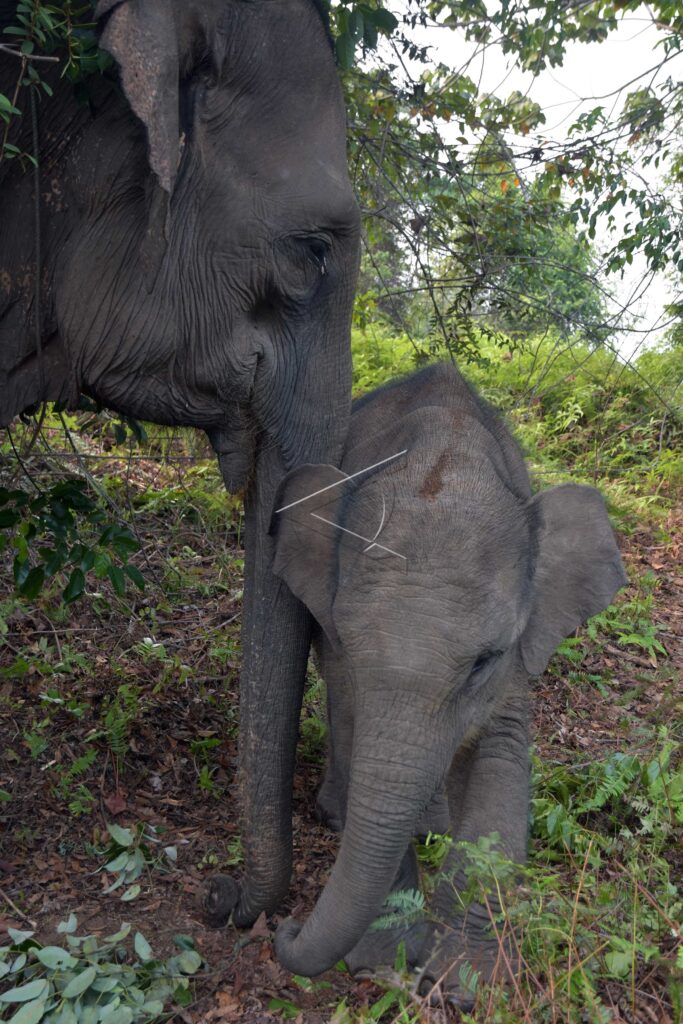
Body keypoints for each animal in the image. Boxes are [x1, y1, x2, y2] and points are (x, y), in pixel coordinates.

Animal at [269, 362, 626, 1004]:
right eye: (350, 641)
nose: (283, 927)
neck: (445, 457)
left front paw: (465, 981)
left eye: (486, 659)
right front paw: (381, 961)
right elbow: (356, 730)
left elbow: (502, 760)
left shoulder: (519, 654)